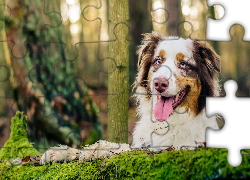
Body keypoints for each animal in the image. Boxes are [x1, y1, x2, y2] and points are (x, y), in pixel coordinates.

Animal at [40, 31, 223, 164]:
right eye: (158, 61)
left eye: (183, 64)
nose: (159, 83)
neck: (167, 123)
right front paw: (64, 152)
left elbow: (123, 150)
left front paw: (97, 150)